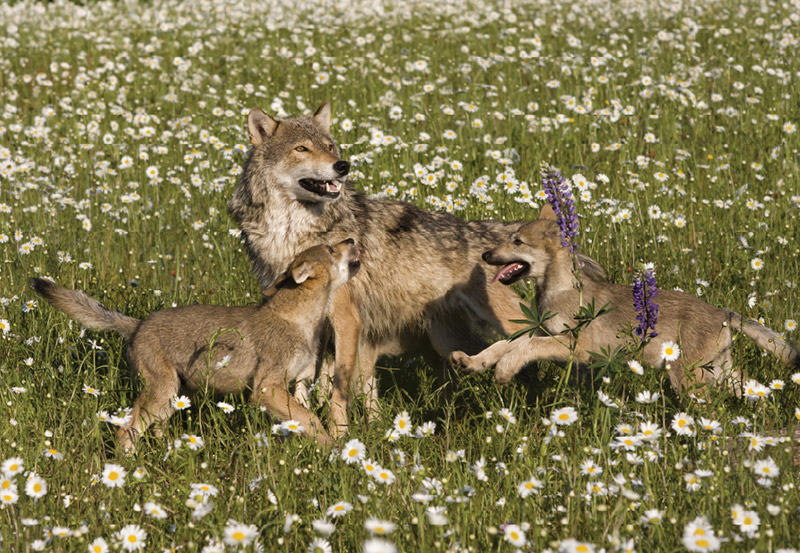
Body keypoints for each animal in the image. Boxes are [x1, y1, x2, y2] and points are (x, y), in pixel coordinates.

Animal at [30, 240, 361, 449]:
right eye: (331, 249)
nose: (351, 238)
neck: (298, 320)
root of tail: (137, 325)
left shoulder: (299, 384)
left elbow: (305, 417)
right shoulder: (267, 388)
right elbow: (313, 420)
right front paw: (332, 448)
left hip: (173, 397)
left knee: (156, 429)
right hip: (161, 394)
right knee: (127, 430)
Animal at [229, 102, 605, 434]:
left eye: (330, 146)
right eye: (302, 149)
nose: (342, 165)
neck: (294, 231)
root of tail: (495, 236)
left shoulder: (348, 320)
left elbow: (338, 388)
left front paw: (338, 435)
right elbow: (310, 384)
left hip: (508, 326)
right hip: (446, 342)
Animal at [451, 206, 800, 392]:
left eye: (517, 241)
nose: (485, 255)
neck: (558, 291)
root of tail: (724, 313)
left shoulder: (576, 346)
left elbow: (524, 349)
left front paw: (504, 370)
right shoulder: (541, 331)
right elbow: (504, 344)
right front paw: (473, 362)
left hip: (689, 378)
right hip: (715, 371)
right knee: (752, 386)